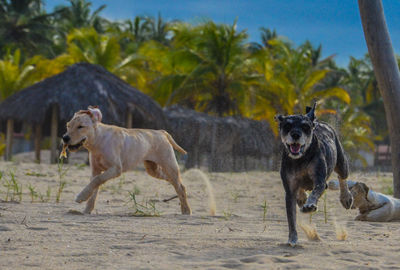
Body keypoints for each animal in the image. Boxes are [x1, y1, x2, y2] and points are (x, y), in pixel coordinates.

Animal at [61, 106, 191, 214]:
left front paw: (81, 197)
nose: (65, 138)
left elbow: (97, 181)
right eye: (68, 126)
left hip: (169, 165)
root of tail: (161, 132)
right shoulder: (95, 171)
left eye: (80, 126)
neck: (98, 141)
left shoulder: (116, 169)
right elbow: (93, 188)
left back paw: (186, 211)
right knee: (176, 183)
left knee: (180, 187)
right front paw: (86, 210)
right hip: (153, 170)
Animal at [276, 104, 352, 247]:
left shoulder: (320, 181)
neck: (300, 159)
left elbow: (315, 193)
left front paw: (309, 205)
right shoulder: (289, 190)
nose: (295, 134)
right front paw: (292, 238)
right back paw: (301, 198)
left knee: (342, 177)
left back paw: (346, 198)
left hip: (341, 162)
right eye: (287, 126)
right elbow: (291, 219)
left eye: (305, 127)